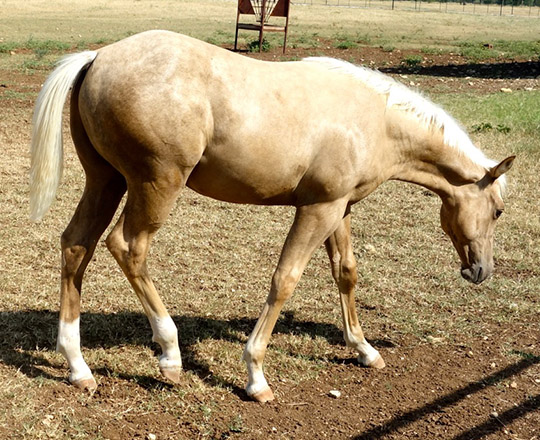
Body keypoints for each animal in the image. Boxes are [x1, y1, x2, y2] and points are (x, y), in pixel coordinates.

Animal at [30, 30, 516, 402]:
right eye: (497, 210)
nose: (481, 271)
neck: (374, 120)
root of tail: (98, 57)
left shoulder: (340, 208)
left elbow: (346, 273)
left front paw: (364, 349)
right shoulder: (317, 210)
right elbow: (285, 279)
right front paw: (255, 375)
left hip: (106, 182)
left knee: (76, 245)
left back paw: (77, 365)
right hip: (156, 186)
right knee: (127, 248)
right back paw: (169, 353)